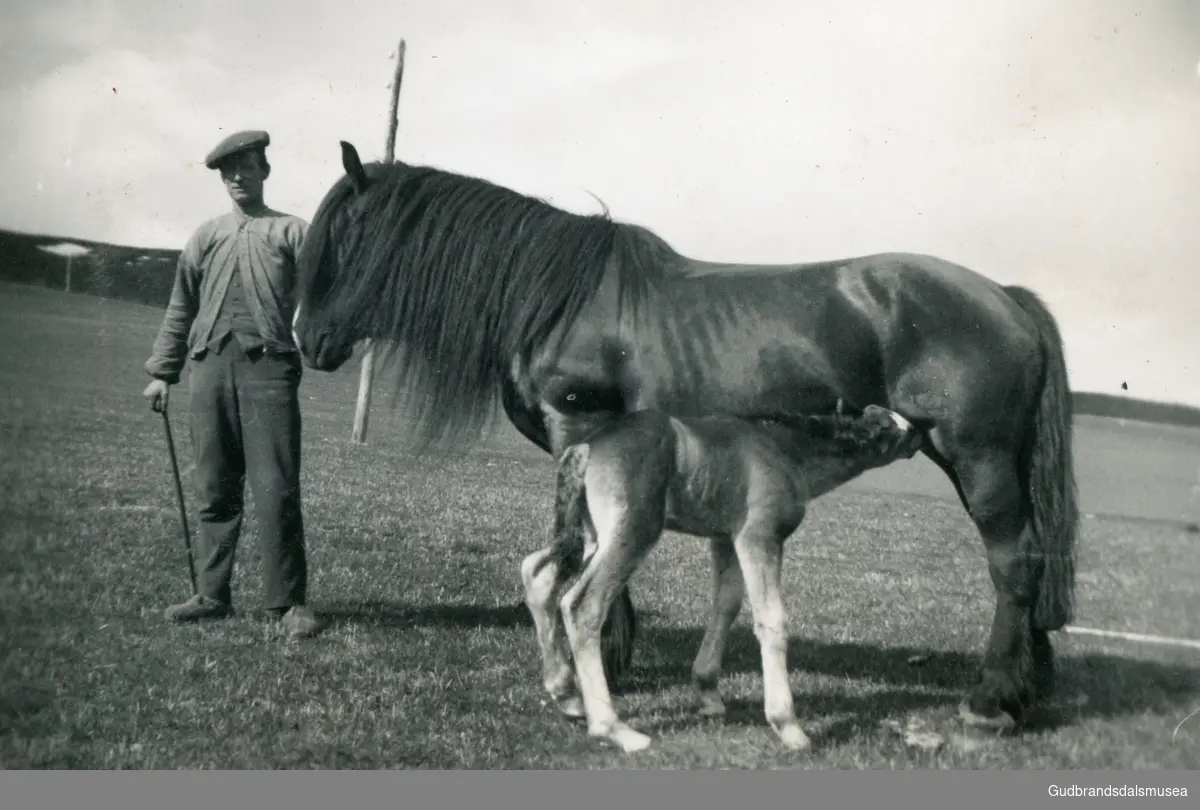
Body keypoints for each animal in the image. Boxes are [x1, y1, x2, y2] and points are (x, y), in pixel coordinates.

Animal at [520, 403, 921, 753]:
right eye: (892, 427)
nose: (918, 433)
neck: (787, 448)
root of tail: (585, 447)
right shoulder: (759, 537)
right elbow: (772, 619)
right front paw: (788, 727)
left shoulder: (725, 540)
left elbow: (726, 604)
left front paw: (708, 693)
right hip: (631, 532)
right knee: (582, 605)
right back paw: (614, 729)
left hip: (589, 537)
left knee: (537, 572)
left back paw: (567, 696)